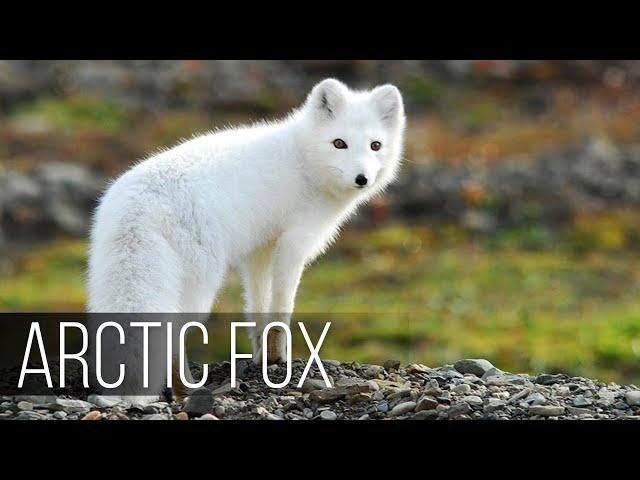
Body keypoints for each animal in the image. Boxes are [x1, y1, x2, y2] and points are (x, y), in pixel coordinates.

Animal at [86, 79, 404, 392]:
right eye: (339, 143)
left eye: (375, 145)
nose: (362, 179)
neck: (304, 159)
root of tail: (139, 205)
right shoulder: (294, 242)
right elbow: (282, 306)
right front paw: (277, 358)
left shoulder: (260, 248)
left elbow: (258, 306)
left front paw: (263, 357)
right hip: (200, 282)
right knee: (174, 332)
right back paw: (185, 388)